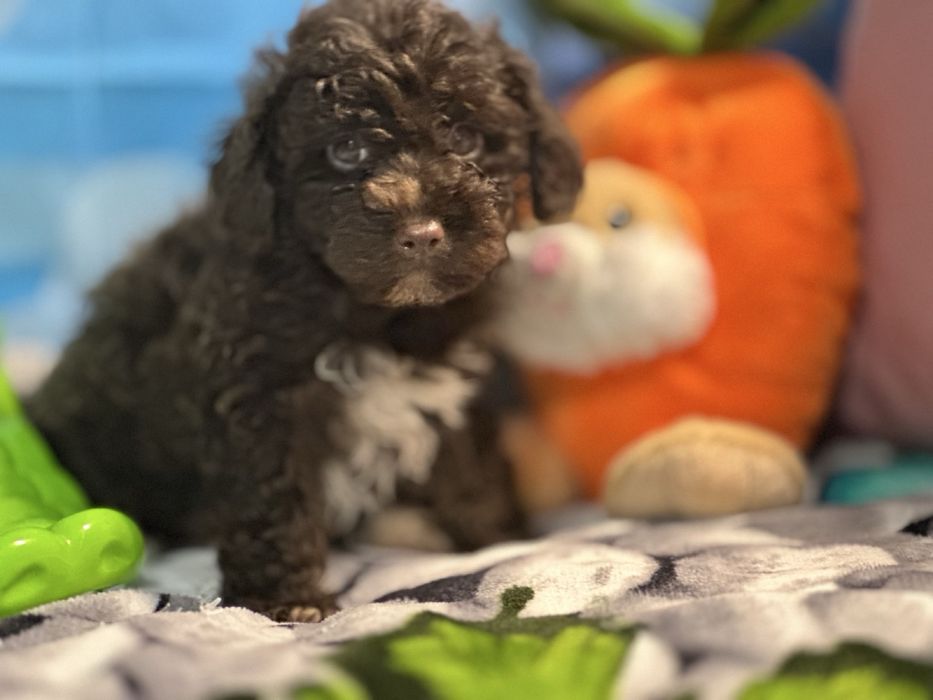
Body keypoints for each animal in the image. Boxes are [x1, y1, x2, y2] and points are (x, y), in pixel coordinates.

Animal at [25, 0, 582, 621]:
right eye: (347, 150)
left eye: (465, 137)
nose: (422, 233)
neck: (377, 315)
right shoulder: (260, 396)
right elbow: (276, 498)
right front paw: (287, 602)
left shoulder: (453, 378)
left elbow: (469, 462)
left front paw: (495, 538)